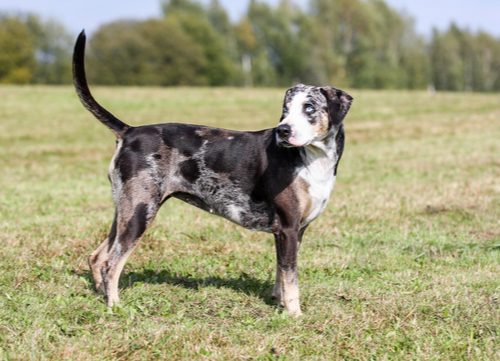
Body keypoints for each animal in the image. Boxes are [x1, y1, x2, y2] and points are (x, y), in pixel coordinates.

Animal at [72, 30, 354, 316]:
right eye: (286, 110)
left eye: (309, 108)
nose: (282, 130)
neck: (311, 159)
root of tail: (129, 131)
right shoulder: (287, 227)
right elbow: (290, 277)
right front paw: (294, 314)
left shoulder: (294, 231)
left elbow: (281, 274)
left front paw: (279, 302)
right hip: (140, 213)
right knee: (111, 264)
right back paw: (115, 306)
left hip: (125, 211)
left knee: (97, 257)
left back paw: (101, 296)